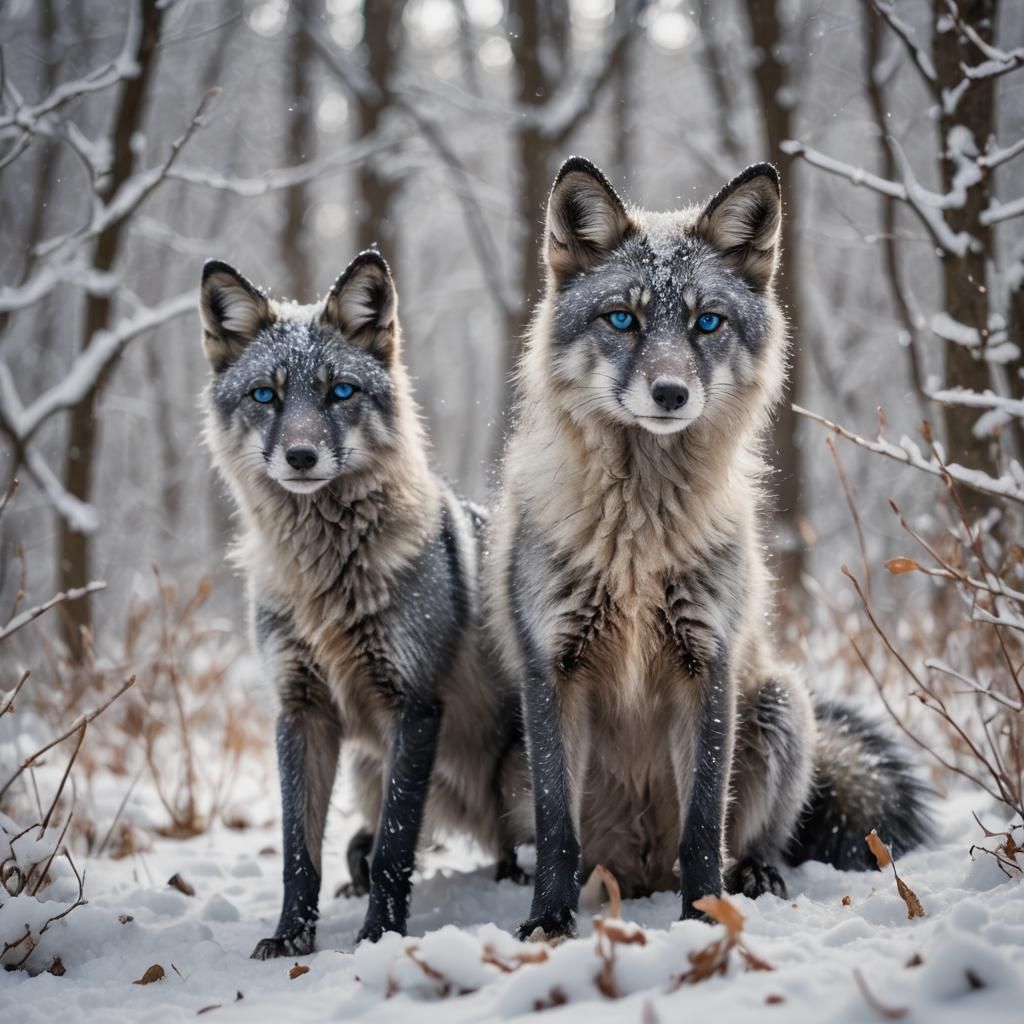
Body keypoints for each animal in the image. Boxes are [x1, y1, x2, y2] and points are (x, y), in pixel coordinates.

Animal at [199, 250, 528, 958]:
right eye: (266, 395)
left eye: (339, 392)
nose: (300, 456)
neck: (327, 583)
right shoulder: (300, 711)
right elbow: (301, 852)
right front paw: (291, 936)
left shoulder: (415, 705)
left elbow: (394, 851)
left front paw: (381, 935)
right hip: (366, 771)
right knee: (359, 844)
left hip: (516, 783)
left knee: (514, 846)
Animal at [484, 157, 931, 941]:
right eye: (623, 319)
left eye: (706, 323)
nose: (669, 393)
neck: (636, 538)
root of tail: (637, 870)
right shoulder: (553, 668)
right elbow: (558, 829)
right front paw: (548, 921)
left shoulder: (709, 662)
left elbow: (703, 826)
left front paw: (703, 915)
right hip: (511, 755)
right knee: (552, 844)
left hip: (781, 703)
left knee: (750, 839)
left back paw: (752, 876)